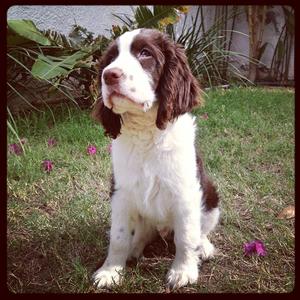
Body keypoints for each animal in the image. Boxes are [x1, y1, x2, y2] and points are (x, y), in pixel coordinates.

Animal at [91, 28, 220, 290]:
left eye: (145, 53)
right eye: (111, 58)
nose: (109, 75)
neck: (146, 133)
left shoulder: (186, 193)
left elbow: (186, 237)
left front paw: (183, 271)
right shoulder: (121, 192)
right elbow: (118, 236)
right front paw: (110, 271)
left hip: (211, 196)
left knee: (200, 231)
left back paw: (204, 248)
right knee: (142, 233)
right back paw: (134, 249)